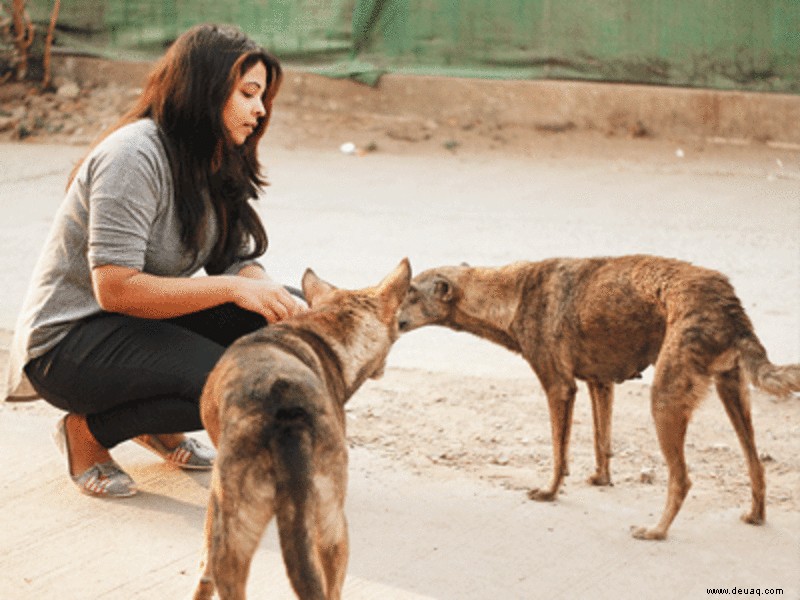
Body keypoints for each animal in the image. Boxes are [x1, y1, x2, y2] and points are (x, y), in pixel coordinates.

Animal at [191, 258, 410, 600]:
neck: (329, 327)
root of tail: (286, 416)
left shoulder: (216, 504)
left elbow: (204, 568)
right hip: (333, 529)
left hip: (236, 533)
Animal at [396, 253, 800, 540]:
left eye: (411, 293)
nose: (392, 316)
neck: (509, 293)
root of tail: (726, 300)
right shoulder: (599, 384)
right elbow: (601, 441)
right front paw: (600, 478)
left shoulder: (559, 387)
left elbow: (559, 454)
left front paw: (550, 492)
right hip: (731, 391)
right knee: (756, 465)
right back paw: (755, 515)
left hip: (665, 401)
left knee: (682, 479)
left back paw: (656, 531)